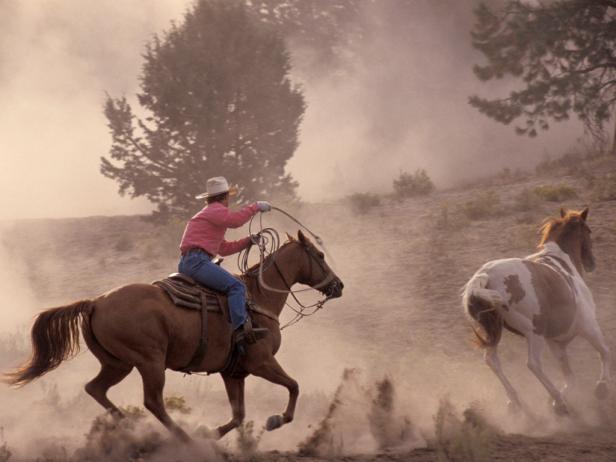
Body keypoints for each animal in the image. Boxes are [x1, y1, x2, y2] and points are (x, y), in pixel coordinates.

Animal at [3, 231, 342, 440]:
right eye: (320, 254)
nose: (338, 286)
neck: (257, 298)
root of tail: (96, 302)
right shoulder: (261, 363)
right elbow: (294, 386)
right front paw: (275, 420)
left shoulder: (234, 373)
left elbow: (239, 414)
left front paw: (212, 435)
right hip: (149, 362)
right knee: (153, 401)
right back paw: (181, 438)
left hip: (117, 364)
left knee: (95, 388)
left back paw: (130, 425)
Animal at [464, 208, 608, 414]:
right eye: (589, 230)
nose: (591, 263)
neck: (562, 260)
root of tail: (484, 277)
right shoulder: (589, 326)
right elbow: (604, 352)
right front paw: (602, 387)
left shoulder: (555, 342)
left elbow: (570, 377)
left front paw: (555, 399)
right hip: (534, 333)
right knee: (533, 364)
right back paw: (559, 402)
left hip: (494, 331)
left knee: (491, 360)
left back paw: (516, 401)